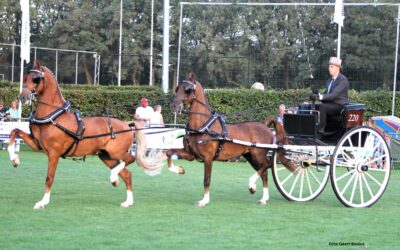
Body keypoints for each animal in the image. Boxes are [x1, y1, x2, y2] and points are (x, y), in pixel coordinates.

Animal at [6, 60, 163, 209]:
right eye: (25, 77)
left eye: (36, 79)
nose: (23, 97)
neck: (53, 116)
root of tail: (127, 125)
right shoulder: (36, 145)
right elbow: (14, 131)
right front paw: (15, 159)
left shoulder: (53, 153)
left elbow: (49, 177)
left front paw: (42, 202)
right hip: (106, 156)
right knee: (127, 174)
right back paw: (127, 200)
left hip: (116, 152)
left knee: (130, 159)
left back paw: (113, 178)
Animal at [169, 73, 296, 207]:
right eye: (177, 88)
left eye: (188, 89)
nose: (173, 105)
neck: (203, 126)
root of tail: (265, 125)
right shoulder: (191, 154)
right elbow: (169, 153)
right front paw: (179, 170)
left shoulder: (208, 158)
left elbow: (206, 179)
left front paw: (204, 200)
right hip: (250, 156)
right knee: (264, 172)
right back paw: (263, 197)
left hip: (258, 154)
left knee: (267, 166)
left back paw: (252, 185)